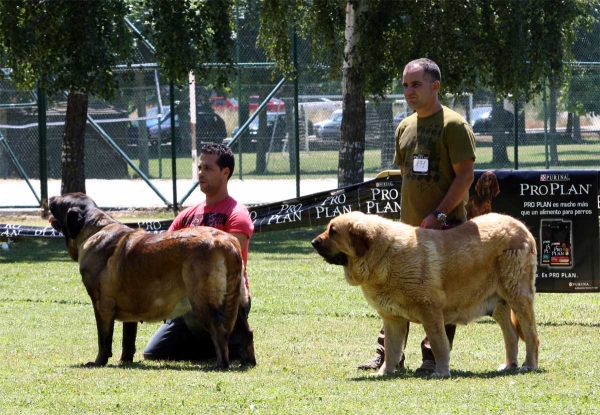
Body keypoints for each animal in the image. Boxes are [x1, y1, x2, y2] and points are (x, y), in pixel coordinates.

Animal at [49, 193, 255, 368]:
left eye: (60, 201)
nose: (50, 198)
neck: (93, 230)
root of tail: (227, 243)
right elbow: (128, 339)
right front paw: (125, 361)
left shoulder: (101, 306)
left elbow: (104, 339)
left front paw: (99, 361)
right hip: (235, 301)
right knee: (246, 331)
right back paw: (248, 361)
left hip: (202, 302)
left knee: (220, 331)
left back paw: (221, 365)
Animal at [312, 213, 540, 378]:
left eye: (333, 231)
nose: (314, 242)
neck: (383, 254)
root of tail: (523, 228)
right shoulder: (392, 318)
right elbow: (391, 349)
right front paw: (384, 373)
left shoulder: (430, 311)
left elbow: (439, 343)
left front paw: (441, 372)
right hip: (498, 303)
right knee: (511, 334)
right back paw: (509, 365)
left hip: (517, 296)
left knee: (531, 335)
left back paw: (529, 365)